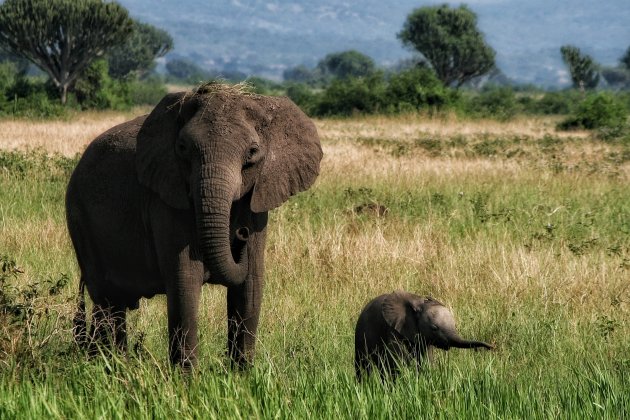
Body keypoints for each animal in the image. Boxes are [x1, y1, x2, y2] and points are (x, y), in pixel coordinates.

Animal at [66, 84, 324, 368]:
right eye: (182, 148)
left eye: (252, 152)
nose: (240, 233)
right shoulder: (168, 199)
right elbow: (185, 283)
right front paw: (186, 378)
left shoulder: (258, 201)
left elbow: (250, 287)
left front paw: (242, 374)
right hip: (80, 217)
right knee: (105, 300)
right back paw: (105, 366)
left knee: (115, 304)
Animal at [356, 290, 494, 378]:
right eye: (434, 328)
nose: (492, 347)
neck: (418, 304)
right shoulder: (392, 329)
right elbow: (396, 361)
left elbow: (426, 361)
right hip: (360, 333)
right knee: (363, 365)